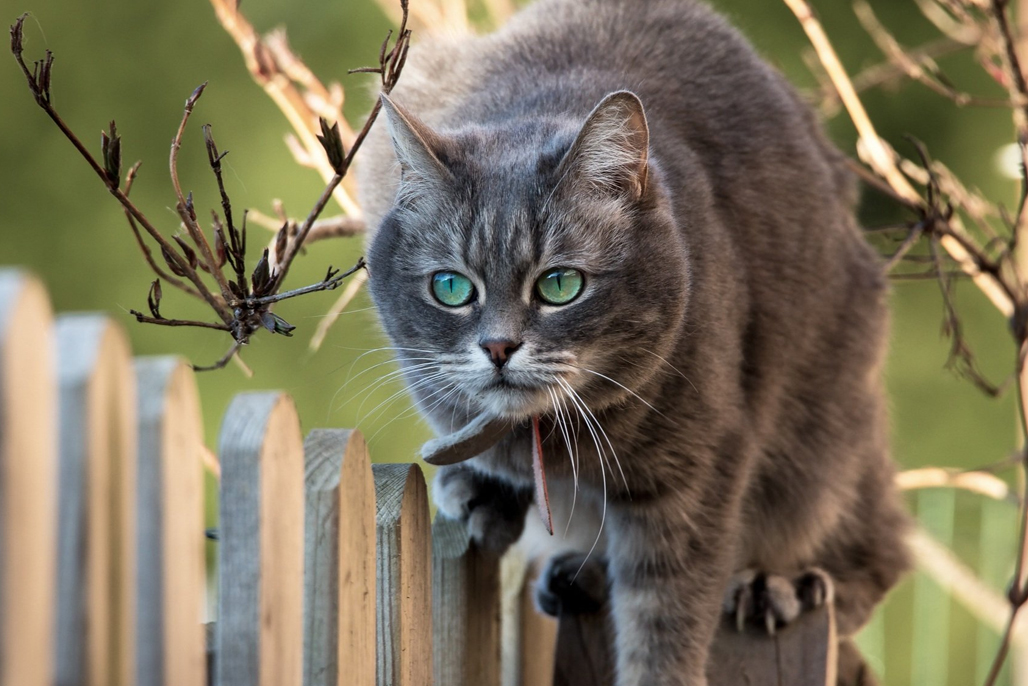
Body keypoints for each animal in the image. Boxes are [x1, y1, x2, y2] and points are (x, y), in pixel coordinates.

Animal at [357, 1, 912, 682]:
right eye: (452, 288)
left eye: (560, 285)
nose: (498, 348)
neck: (553, 442)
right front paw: (477, 490)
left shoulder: (694, 476)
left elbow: (665, 614)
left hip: (826, 429)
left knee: (876, 546)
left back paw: (780, 585)